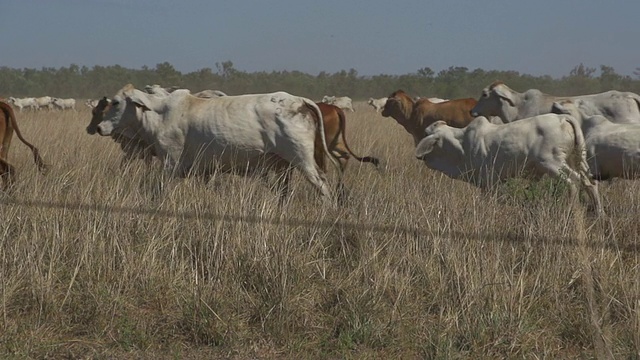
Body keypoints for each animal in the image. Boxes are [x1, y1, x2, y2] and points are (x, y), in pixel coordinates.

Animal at [94, 83, 340, 202]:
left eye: (116, 102)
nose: (99, 128)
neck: (160, 113)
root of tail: (299, 100)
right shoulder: (205, 170)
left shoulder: (170, 163)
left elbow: (158, 189)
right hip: (282, 167)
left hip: (302, 159)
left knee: (321, 185)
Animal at [416, 114, 604, 214]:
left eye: (425, 134)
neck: (461, 145)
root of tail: (562, 117)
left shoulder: (488, 180)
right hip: (576, 159)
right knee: (590, 182)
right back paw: (599, 213)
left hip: (553, 163)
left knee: (573, 182)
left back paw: (570, 211)